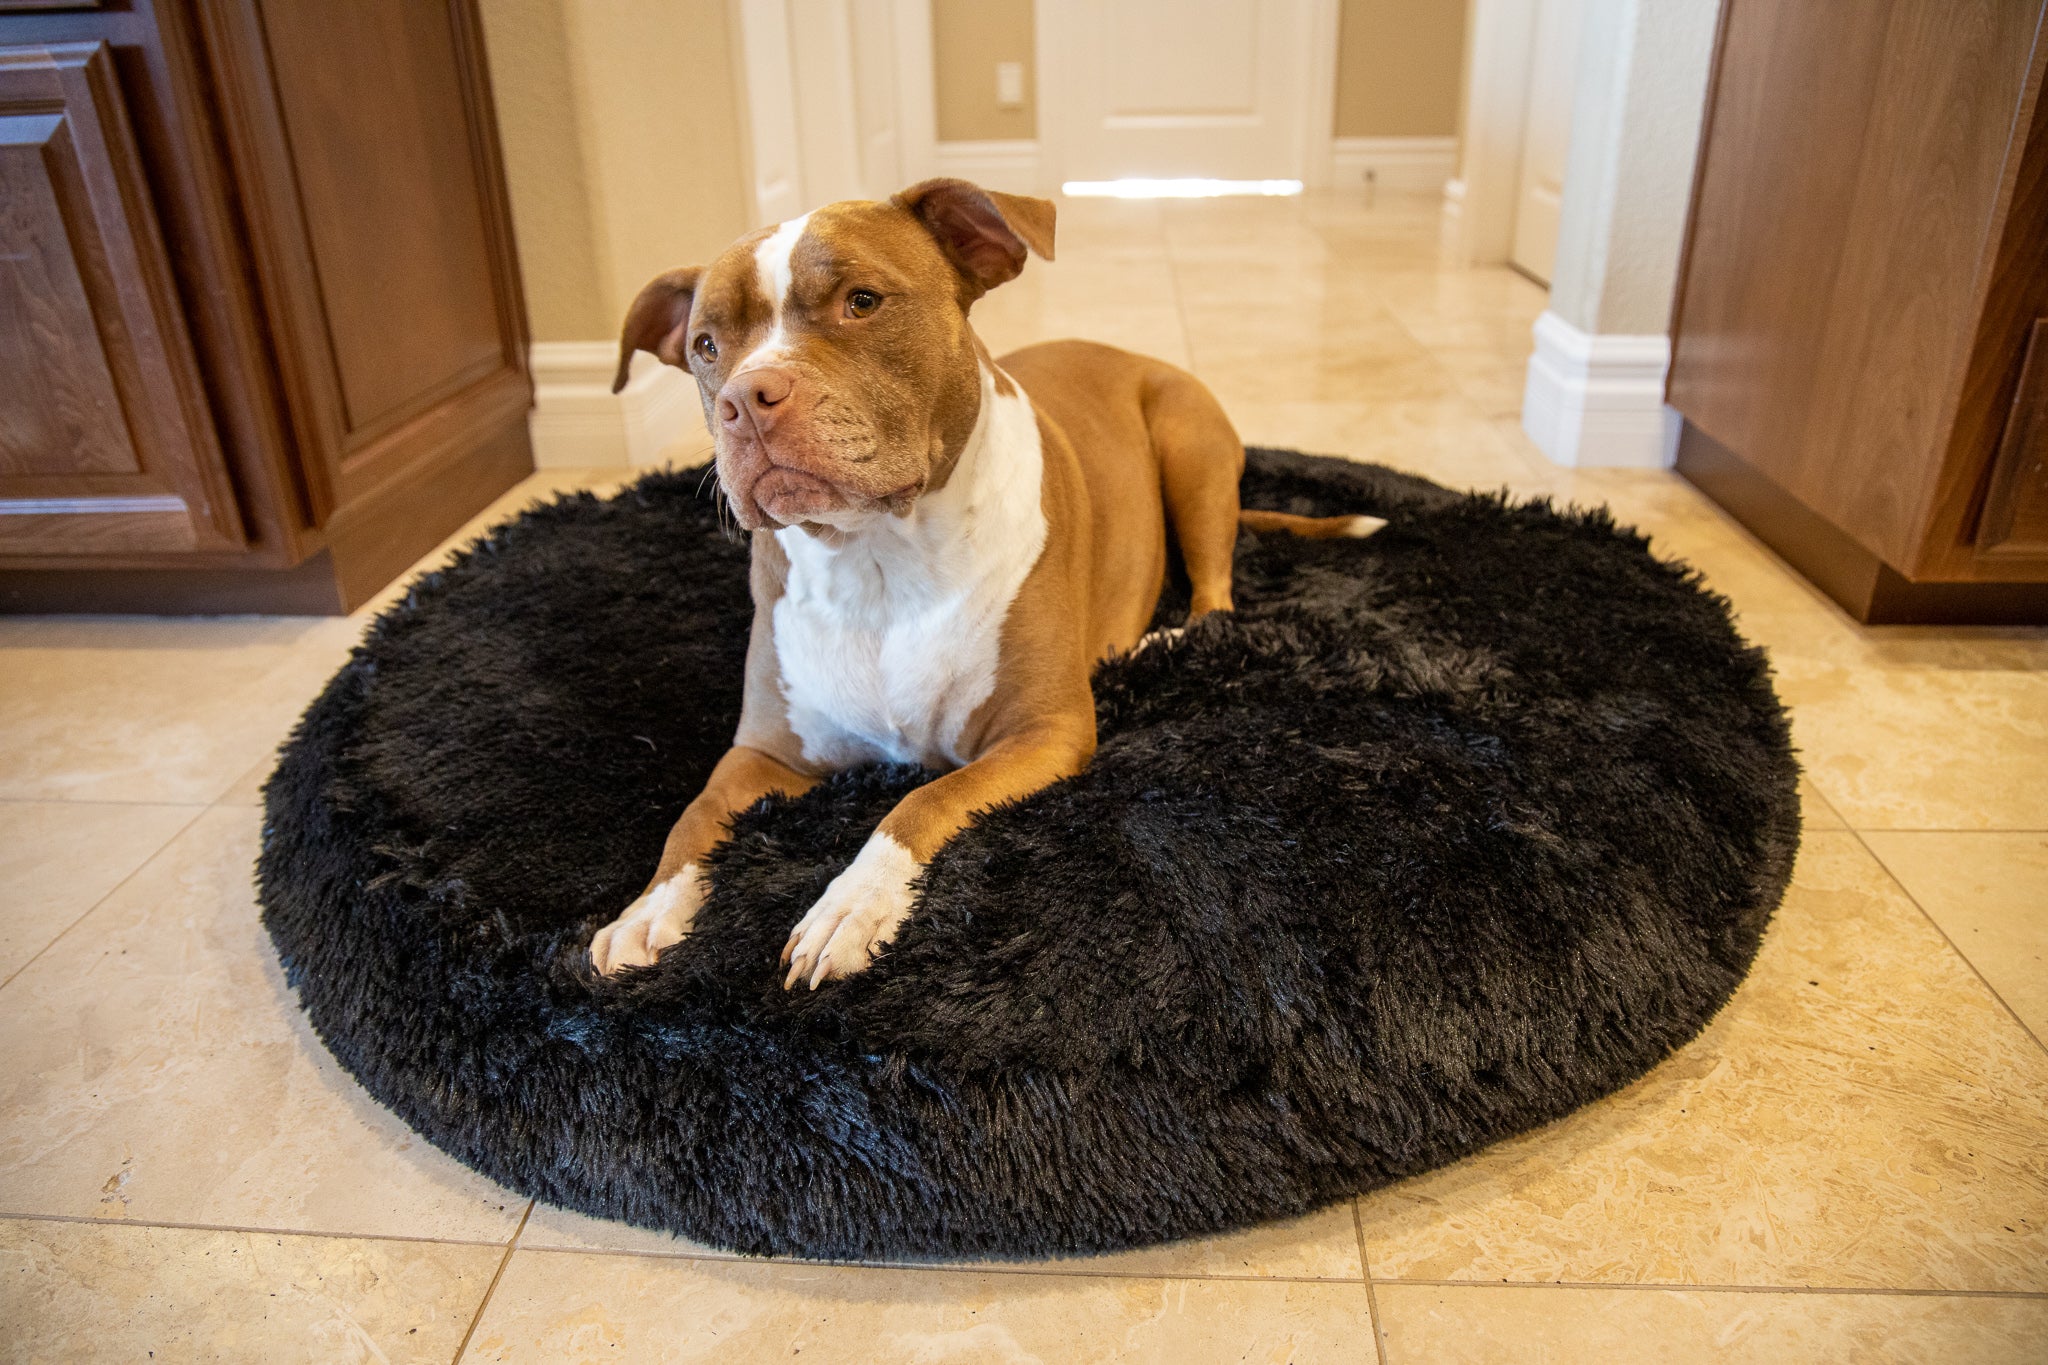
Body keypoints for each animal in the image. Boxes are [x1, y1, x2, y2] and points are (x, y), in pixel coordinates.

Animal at [585, 184, 1376, 994]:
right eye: (707, 347)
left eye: (861, 301)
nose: (746, 399)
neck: (877, 559)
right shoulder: (765, 753)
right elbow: (695, 814)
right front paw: (649, 909)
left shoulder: (1044, 731)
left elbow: (922, 797)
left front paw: (852, 904)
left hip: (1191, 446)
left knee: (1216, 594)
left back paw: (1162, 640)